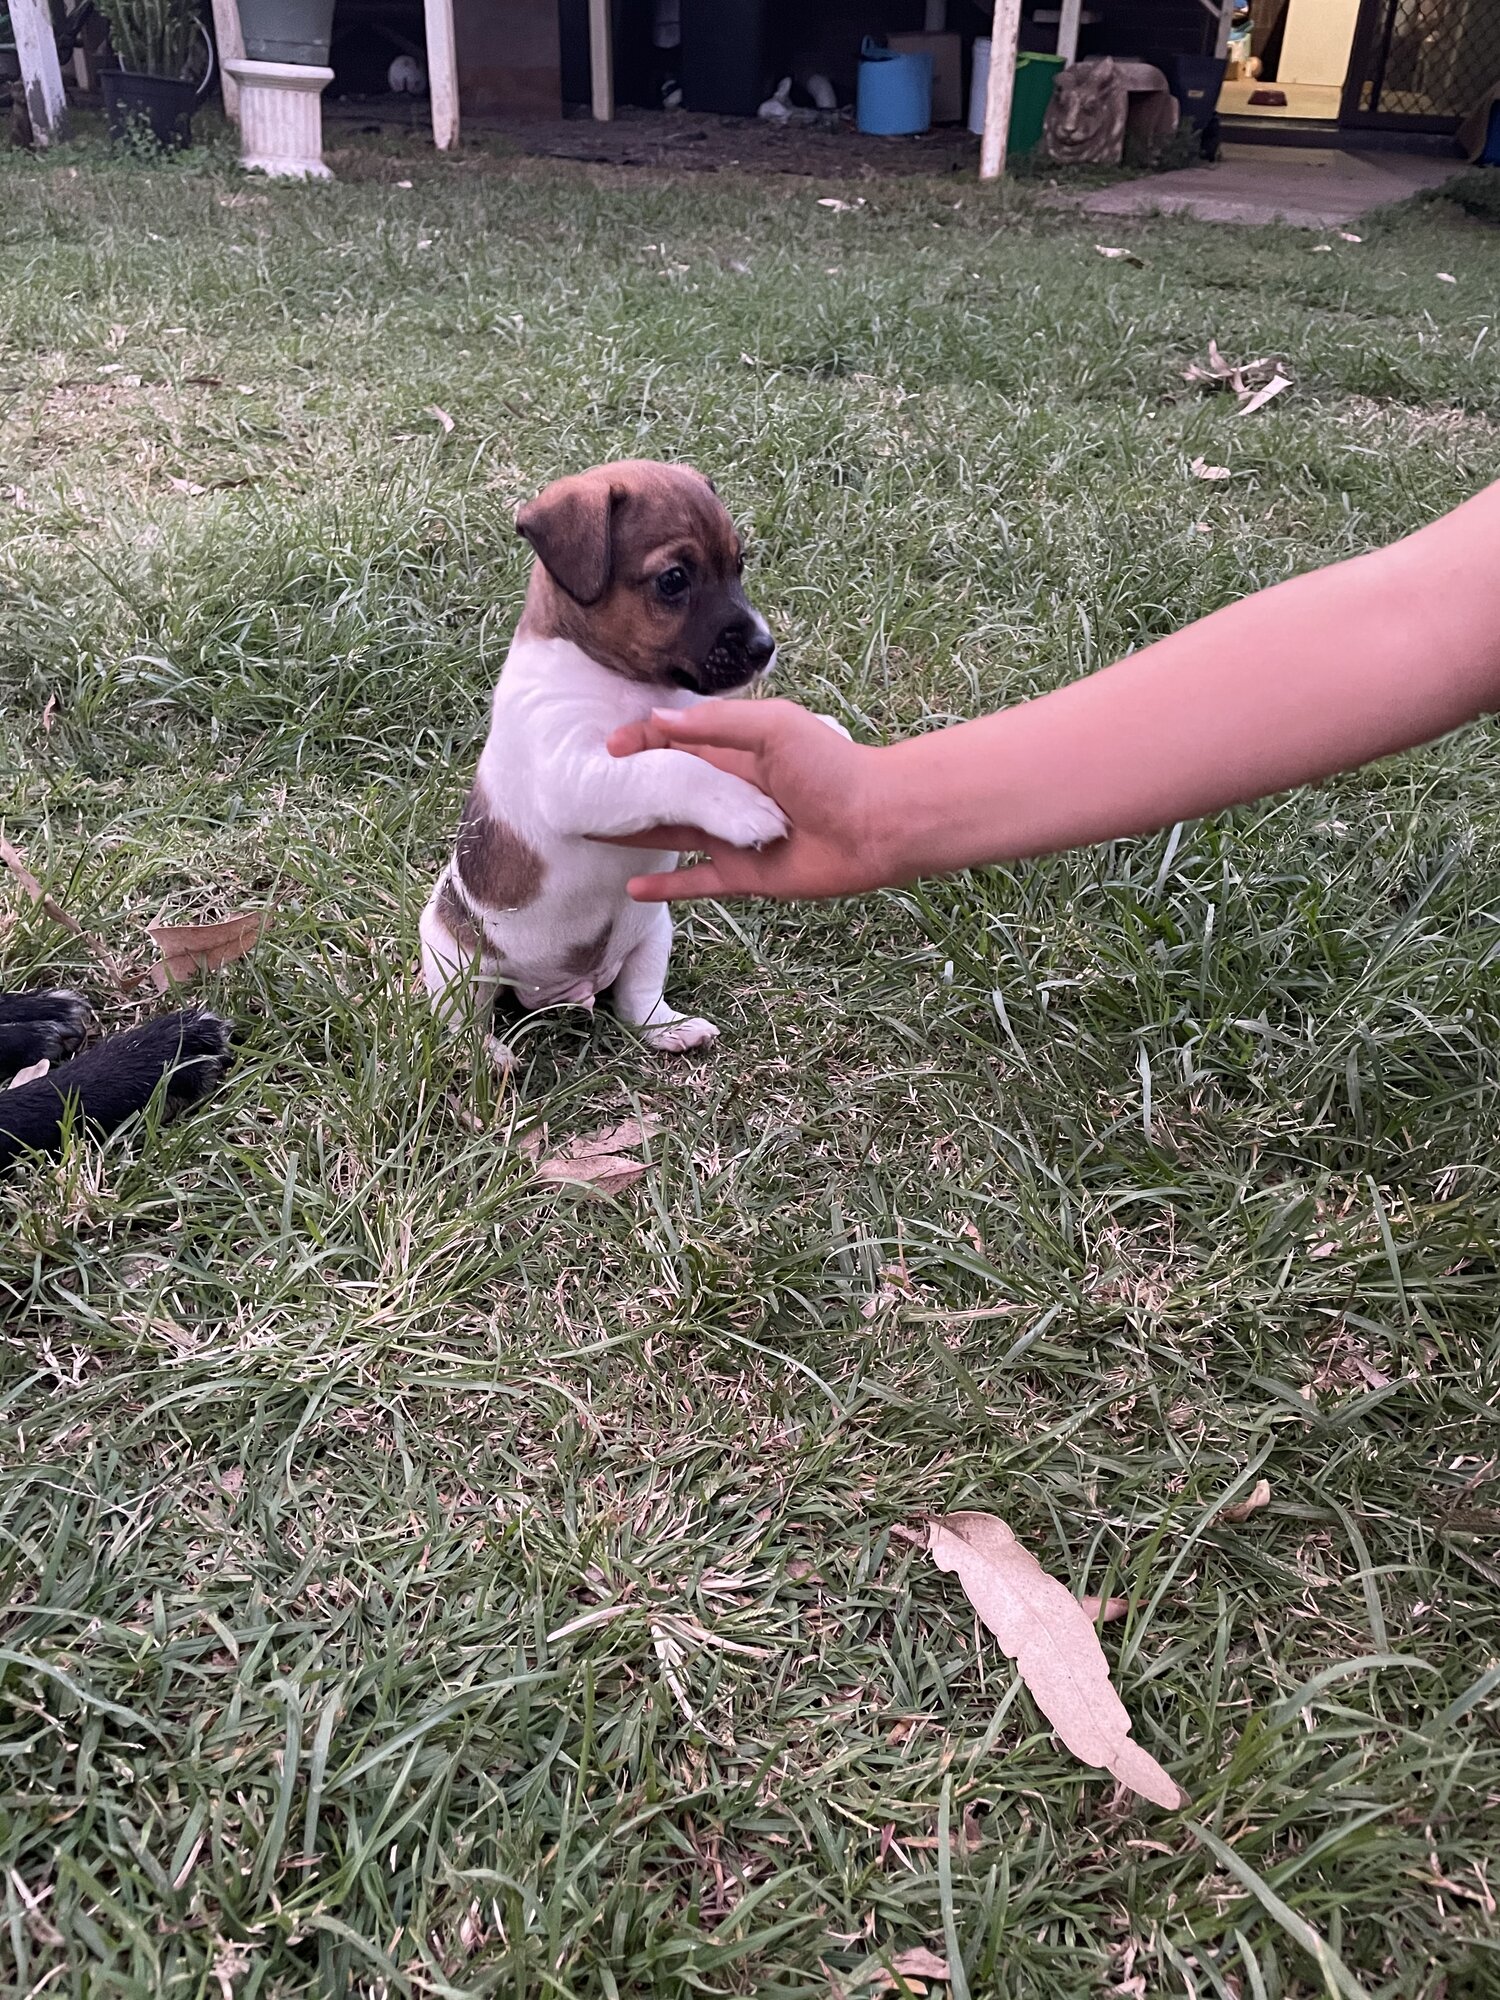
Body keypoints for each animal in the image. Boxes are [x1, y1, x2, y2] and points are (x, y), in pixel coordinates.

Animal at [424, 464, 792, 1064]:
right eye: (673, 580)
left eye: (738, 565)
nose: (765, 647)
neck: (631, 686)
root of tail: (557, 989)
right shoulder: (574, 777)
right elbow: (670, 767)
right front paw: (738, 805)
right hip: (452, 960)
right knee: (460, 1022)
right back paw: (487, 1055)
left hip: (654, 932)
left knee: (637, 1003)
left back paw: (670, 1028)